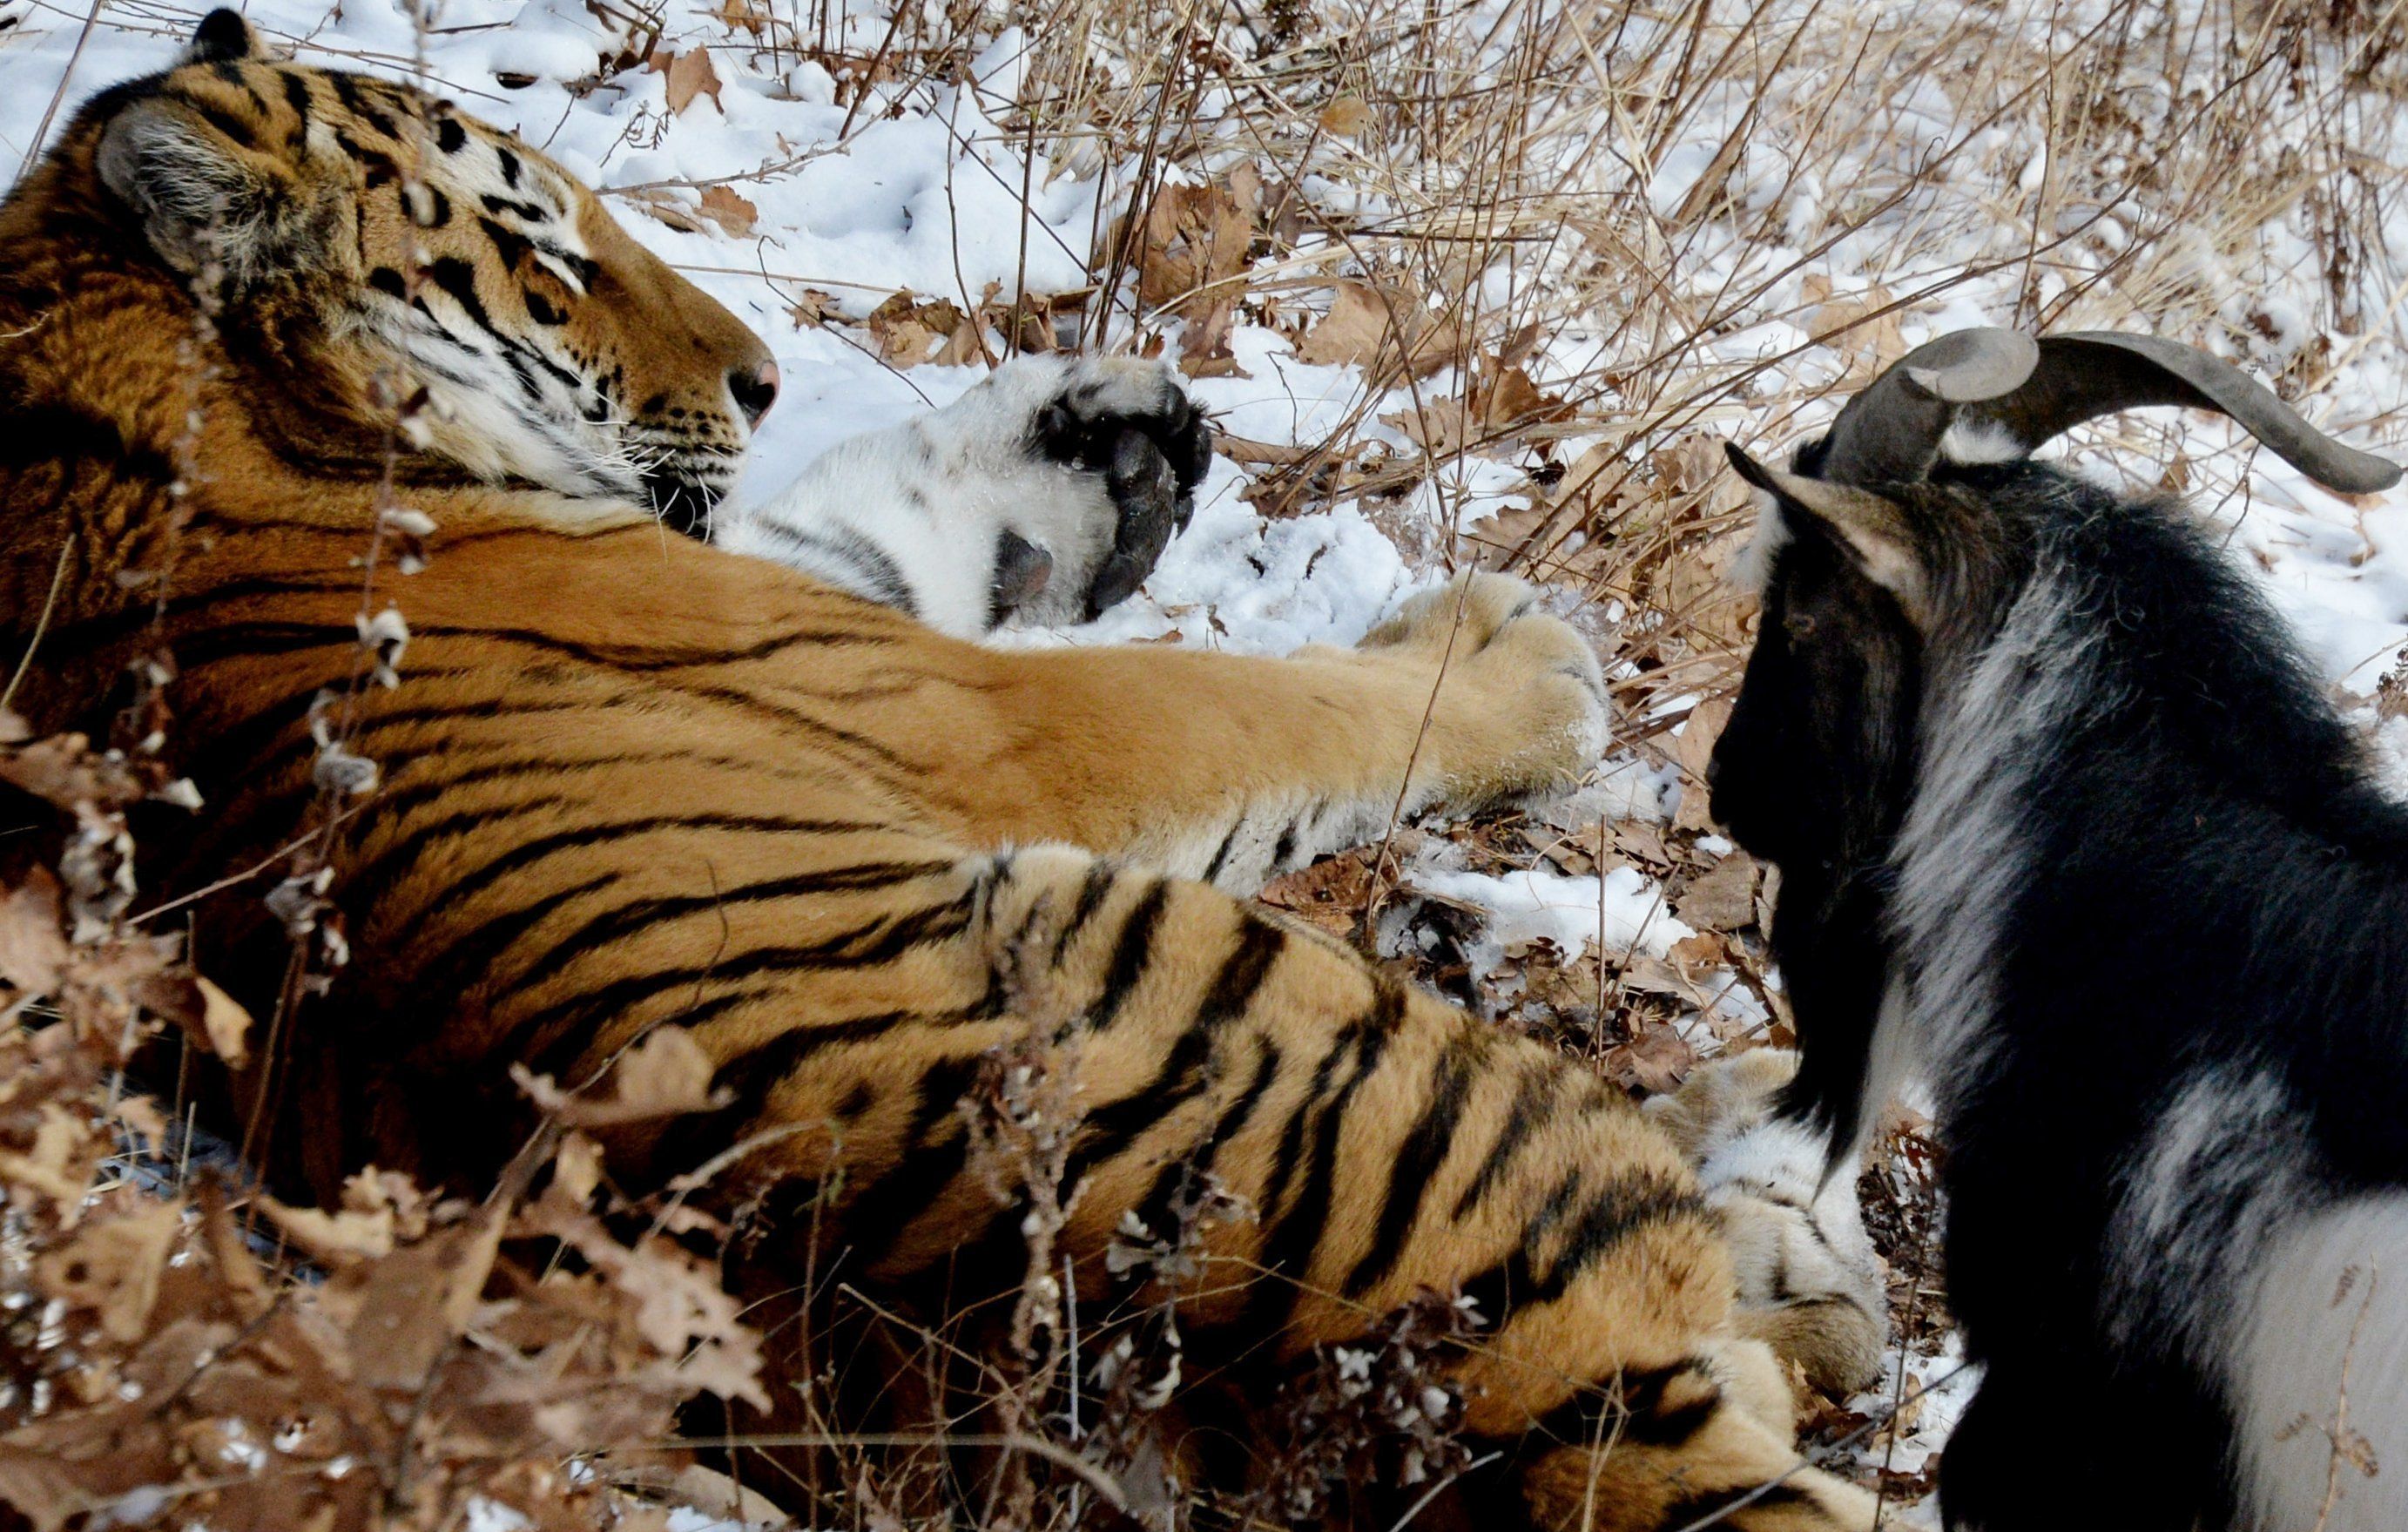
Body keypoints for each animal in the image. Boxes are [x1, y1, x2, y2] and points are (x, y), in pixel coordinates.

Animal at [0, 15, 1887, 1532]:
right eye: (547, 259)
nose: (762, 377)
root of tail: (1460, 1420)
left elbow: (898, 509)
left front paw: (1103, 439)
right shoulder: (965, 713)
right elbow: (1257, 708)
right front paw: (1516, 673)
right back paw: (1783, 1188)